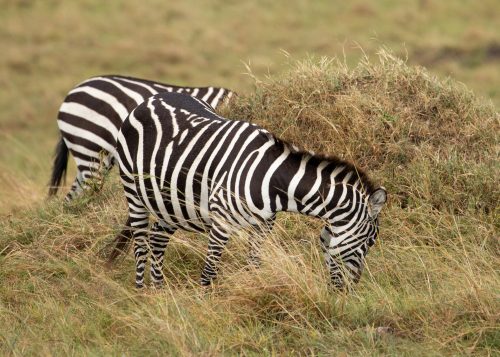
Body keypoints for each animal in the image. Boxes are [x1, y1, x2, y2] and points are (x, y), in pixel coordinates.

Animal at [108, 90, 386, 288]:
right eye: (370, 241)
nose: (350, 290)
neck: (273, 180)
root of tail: (150, 99)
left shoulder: (263, 226)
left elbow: (254, 263)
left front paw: (258, 289)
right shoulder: (221, 223)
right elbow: (209, 271)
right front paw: (207, 308)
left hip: (169, 202)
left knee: (157, 238)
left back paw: (160, 292)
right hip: (133, 191)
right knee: (140, 243)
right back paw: (142, 292)